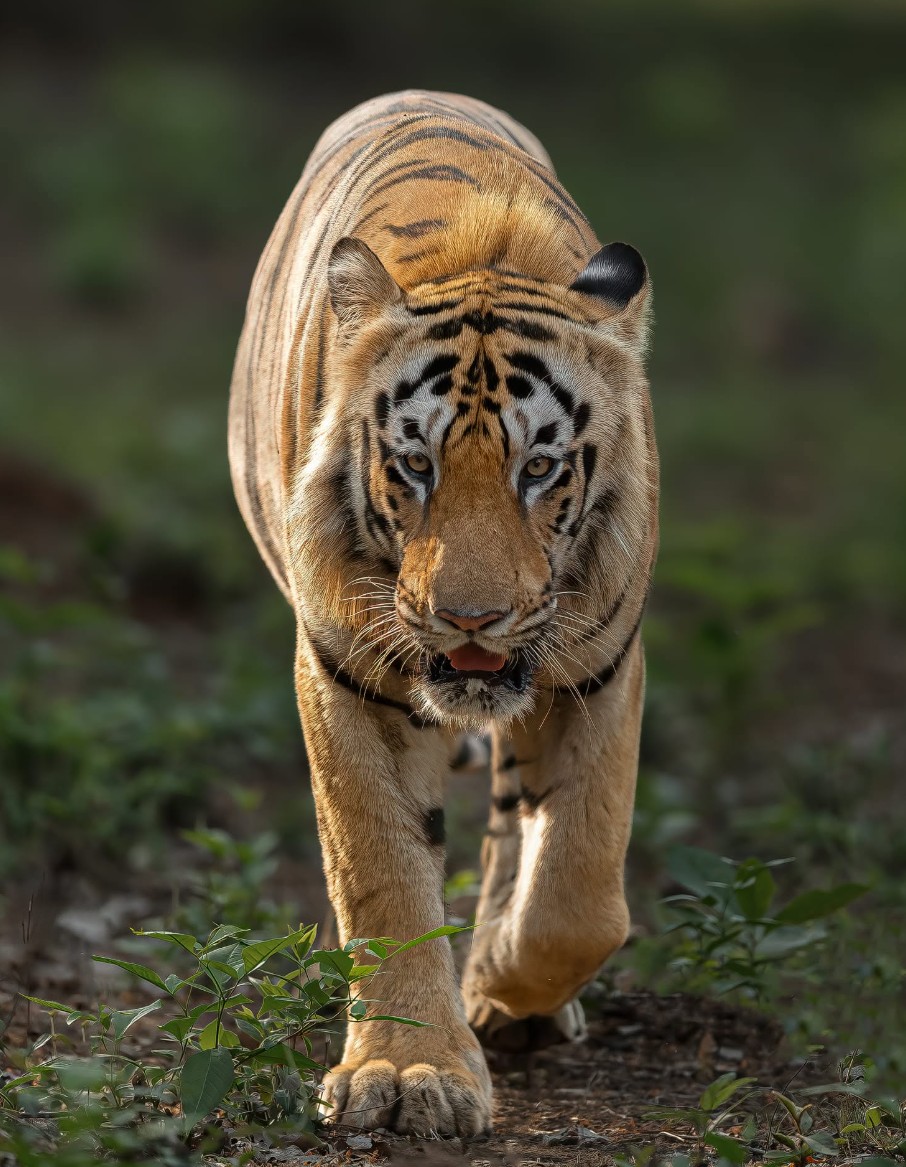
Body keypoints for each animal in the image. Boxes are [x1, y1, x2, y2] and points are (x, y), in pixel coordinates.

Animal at [228, 89, 657, 1138]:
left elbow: (581, 892)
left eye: (539, 467)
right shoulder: (349, 670)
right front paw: (407, 1071)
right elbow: (382, 873)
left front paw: (501, 981)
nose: (470, 620)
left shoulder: (600, 665)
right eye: (415, 464)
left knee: (515, 821)